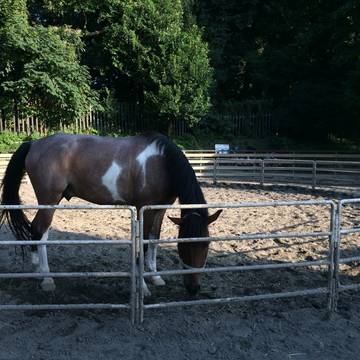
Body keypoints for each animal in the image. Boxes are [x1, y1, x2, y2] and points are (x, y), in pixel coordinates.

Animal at [0, 132, 221, 296]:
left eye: (206, 245)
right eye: (185, 246)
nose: (193, 288)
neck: (161, 162)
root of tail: (34, 143)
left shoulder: (160, 208)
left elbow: (154, 240)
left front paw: (155, 277)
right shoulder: (144, 209)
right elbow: (143, 244)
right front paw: (143, 287)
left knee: (36, 230)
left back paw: (37, 269)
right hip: (50, 200)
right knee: (40, 231)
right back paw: (46, 279)